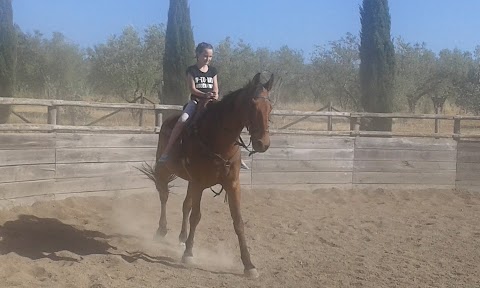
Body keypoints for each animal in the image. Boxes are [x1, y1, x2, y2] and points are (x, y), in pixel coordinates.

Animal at [141, 73, 274, 278]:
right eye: (252, 106)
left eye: (270, 107)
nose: (263, 143)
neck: (218, 140)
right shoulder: (199, 183)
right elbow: (196, 216)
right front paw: (188, 254)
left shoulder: (232, 185)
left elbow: (238, 222)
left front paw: (249, 265)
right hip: (165, 171)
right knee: (164, 196)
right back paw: (161, 230)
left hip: (190, 182)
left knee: (185, 205)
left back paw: (182, 237)